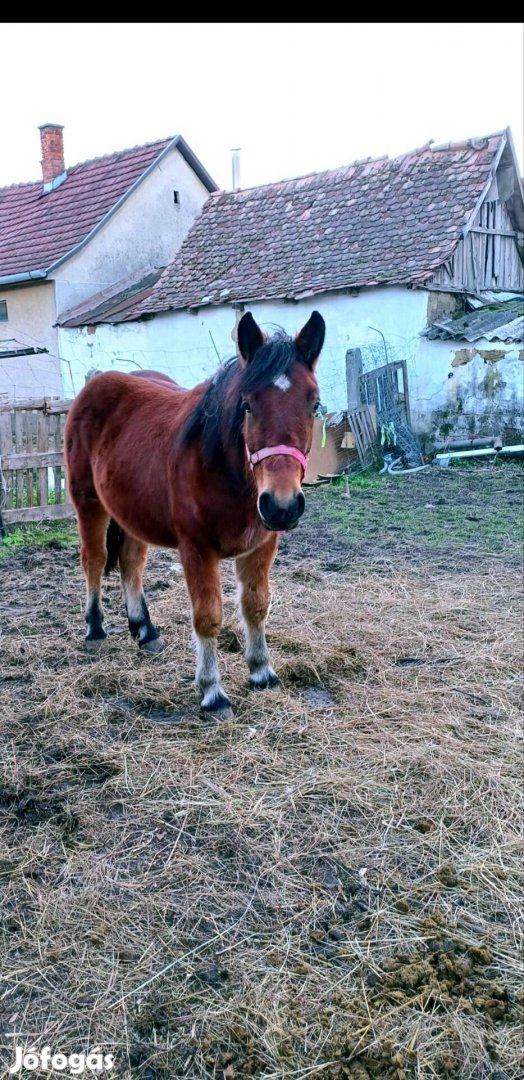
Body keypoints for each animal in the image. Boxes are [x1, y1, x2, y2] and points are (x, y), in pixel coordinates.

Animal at [63, 313, 324, 717]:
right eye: (247, 405)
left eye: (314, 405)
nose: (281, 505)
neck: (226, 471)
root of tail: (95, 385)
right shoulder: (197, 549)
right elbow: (208, 616)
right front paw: (212, 692)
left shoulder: (262, 545)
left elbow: (256, 605)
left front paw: (261, 672)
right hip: (88, 503)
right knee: (94, 559)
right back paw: (95, 630)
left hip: (132, 512)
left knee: (130, 562)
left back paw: (145, 630)